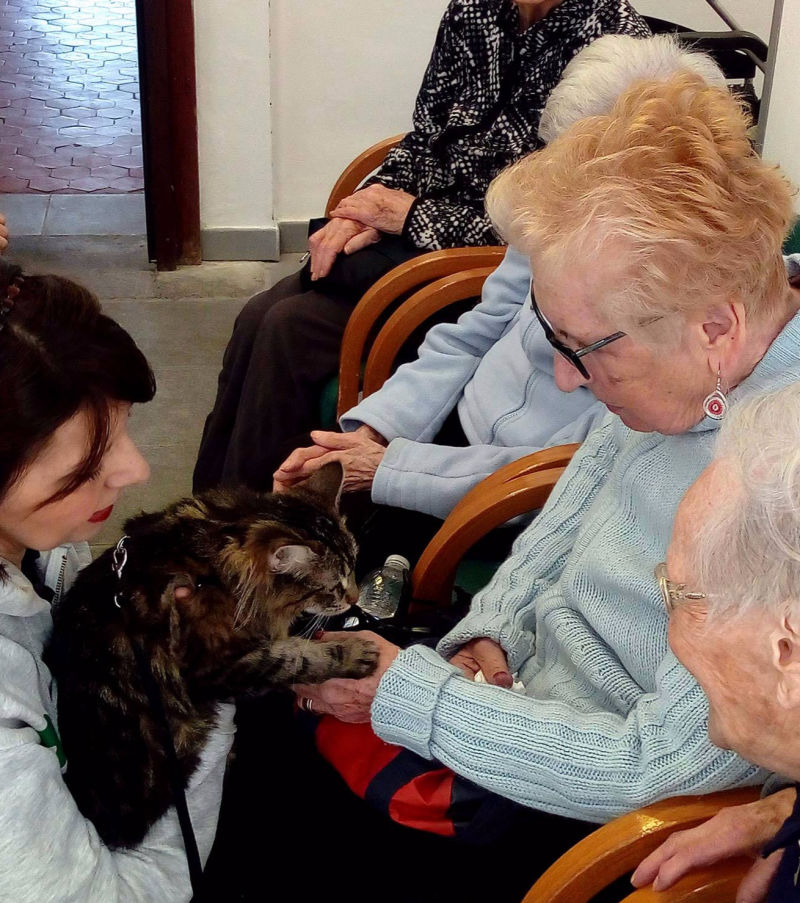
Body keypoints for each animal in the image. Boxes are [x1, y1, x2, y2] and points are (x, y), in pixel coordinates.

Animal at [44, 462, 378, 852]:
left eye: (353, 566)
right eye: (333, 587)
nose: (354, 599)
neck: (215, 564)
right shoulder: (216, 666)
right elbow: (298, 658)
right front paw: (355, 652)